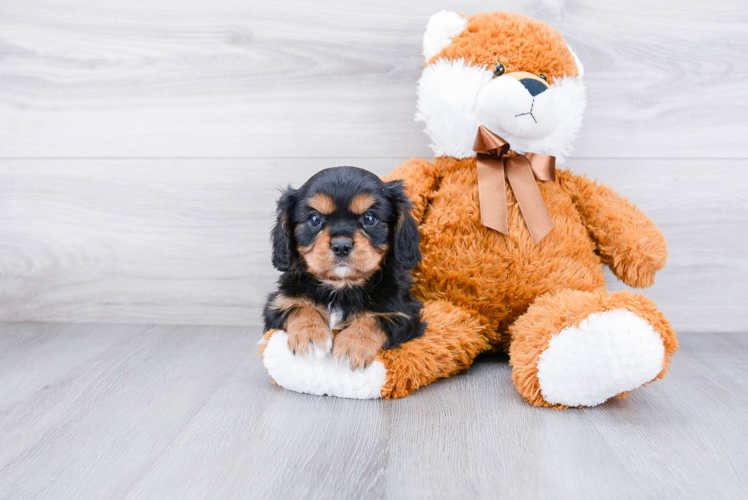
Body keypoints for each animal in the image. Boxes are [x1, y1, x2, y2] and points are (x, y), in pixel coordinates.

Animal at [264, 166, 426, 370]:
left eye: (369, 218)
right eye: (314, 219)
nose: (341, 246)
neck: (341, 286)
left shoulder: (405, 312)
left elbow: (376, 318)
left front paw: (354, 345)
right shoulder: (277, 303)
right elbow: (299, 306)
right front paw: (310, 336)